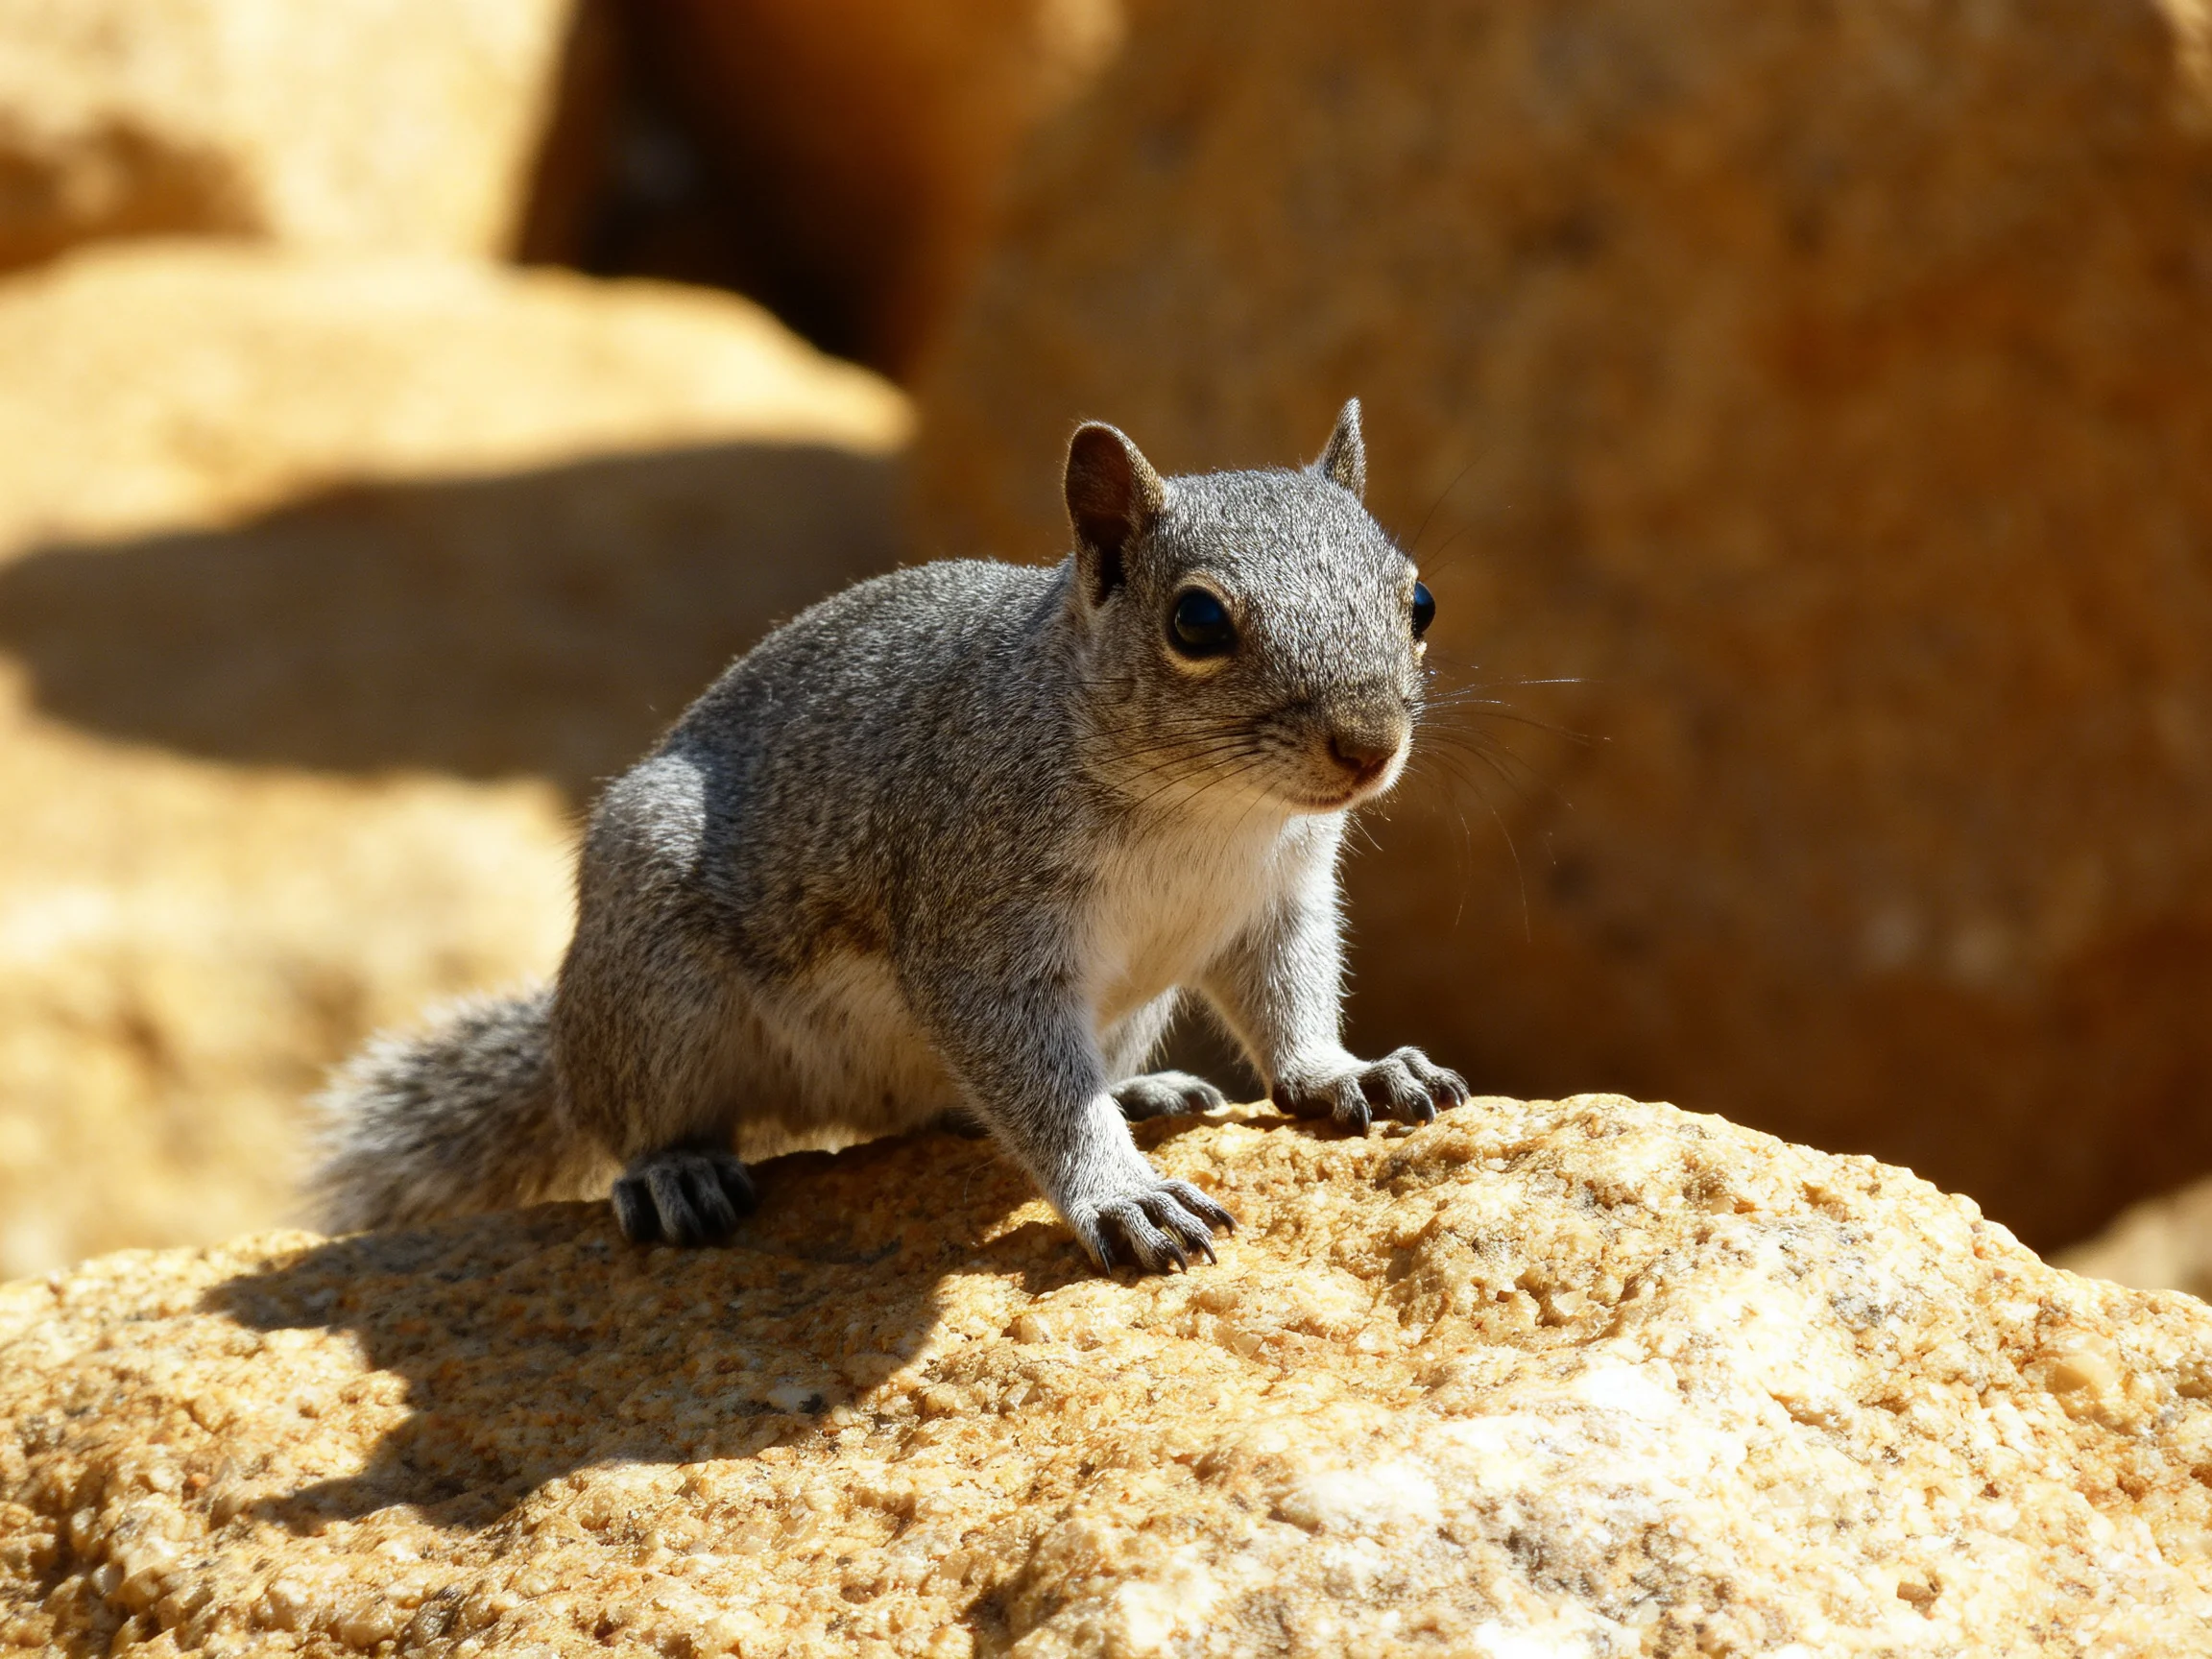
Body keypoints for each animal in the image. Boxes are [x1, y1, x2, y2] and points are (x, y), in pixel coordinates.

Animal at [310, 400, 1467, 1273]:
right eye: (1197, 622)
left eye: (1418, 599)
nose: (1369, 748)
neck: (1210, 812)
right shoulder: (979, 920)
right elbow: (1045, 1092)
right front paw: (1121, 1196)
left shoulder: (1279, 899)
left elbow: (1290, 999)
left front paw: (1348, 1073)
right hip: (655, 985)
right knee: (638, 1117)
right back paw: (674, 1172)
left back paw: (1136, 1088)